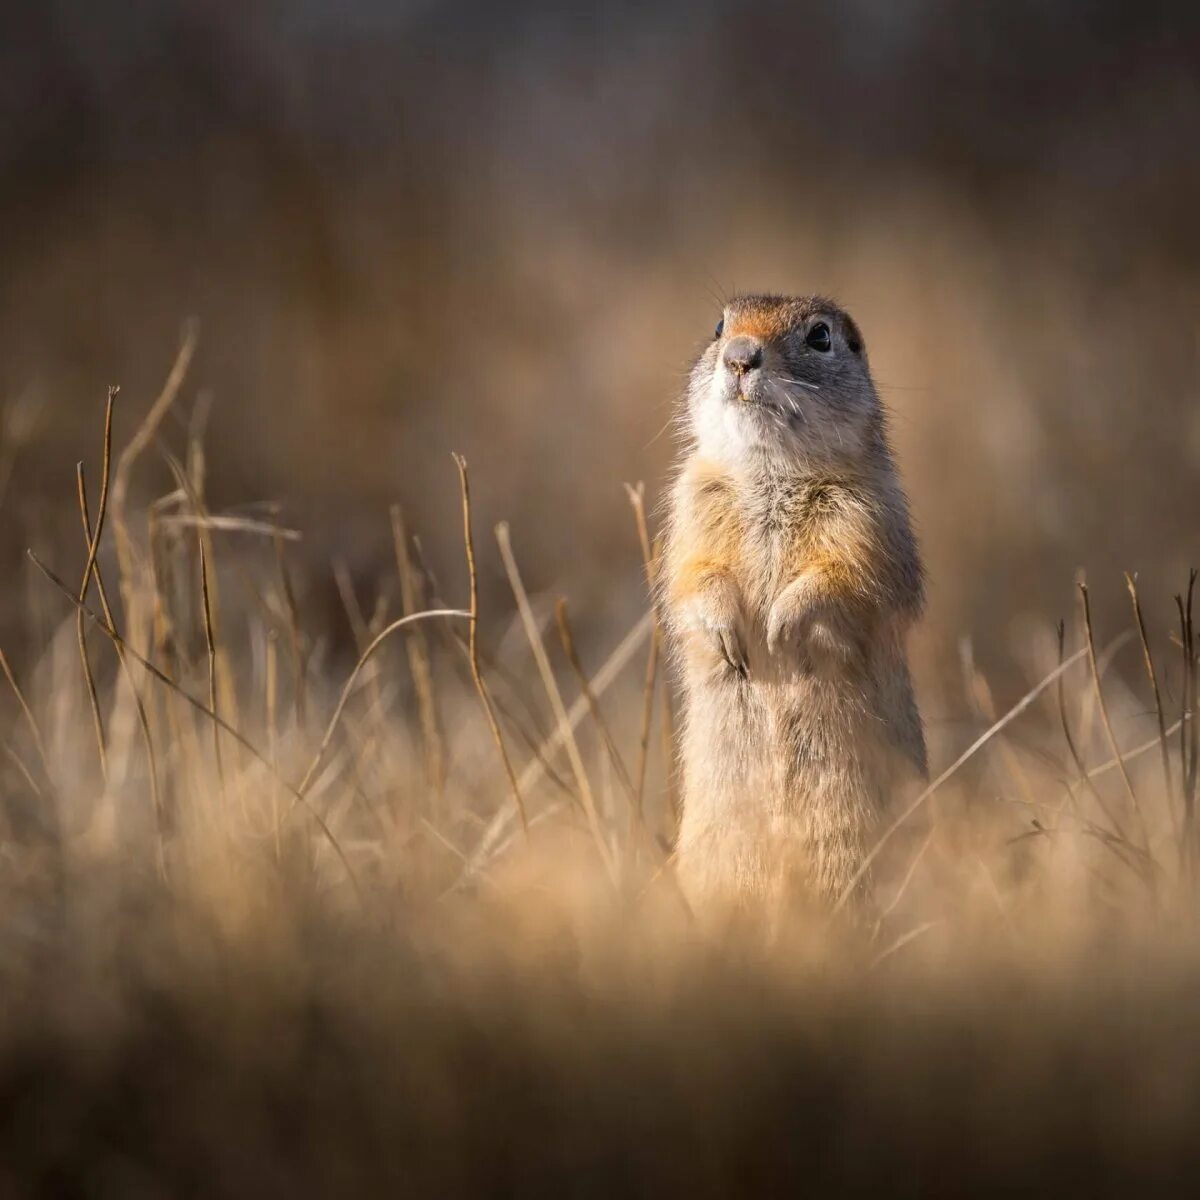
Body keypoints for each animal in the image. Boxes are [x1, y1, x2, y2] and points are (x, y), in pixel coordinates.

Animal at [662, 292, 921, 907]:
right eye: (719, 326)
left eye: (820, 337)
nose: (738, 357)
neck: (769, 471)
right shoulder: (692, 506)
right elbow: (695, 575)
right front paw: (731, 640)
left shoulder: (865, 517)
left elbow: (841, 576)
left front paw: (781, 629)